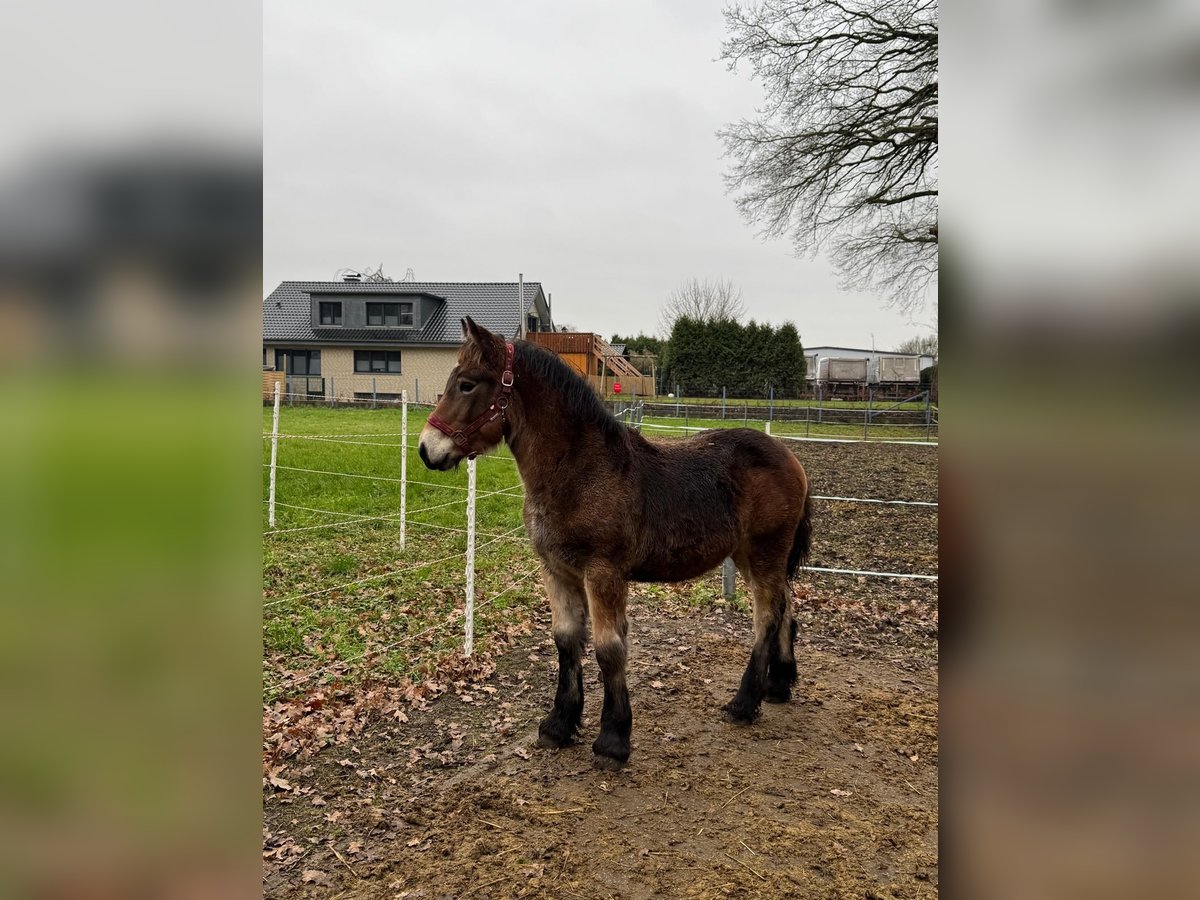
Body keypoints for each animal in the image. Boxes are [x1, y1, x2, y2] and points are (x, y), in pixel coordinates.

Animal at [417, 321, 811, 772]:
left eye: (466, 384)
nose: (426, 449)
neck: (581, 471)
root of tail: (790, 457)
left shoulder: (603, 573)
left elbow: (609, 650)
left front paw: (612, 740)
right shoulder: (557, 571)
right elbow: (566, 640)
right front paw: (558, 725)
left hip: (765, 552)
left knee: (766, 616)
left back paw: (744, 703)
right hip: (751, 556)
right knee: (786, 605)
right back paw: (778, 685)